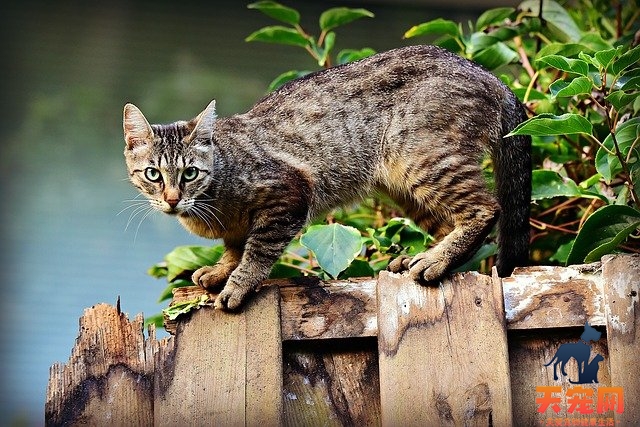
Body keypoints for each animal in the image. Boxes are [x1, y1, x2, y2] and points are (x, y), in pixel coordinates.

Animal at [121, 44, 528, 310]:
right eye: (153, 174)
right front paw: (221, 270)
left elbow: (257, 250)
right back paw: (420, 257)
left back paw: (435, 261)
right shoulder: (237, 228)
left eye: (190, 173)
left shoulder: (289, 193)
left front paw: (238, 283)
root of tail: (491, 76)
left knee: (486, 209)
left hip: (422, 159)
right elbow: (234, 247)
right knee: (448, 222)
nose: (172, 199)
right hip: (403, 185)